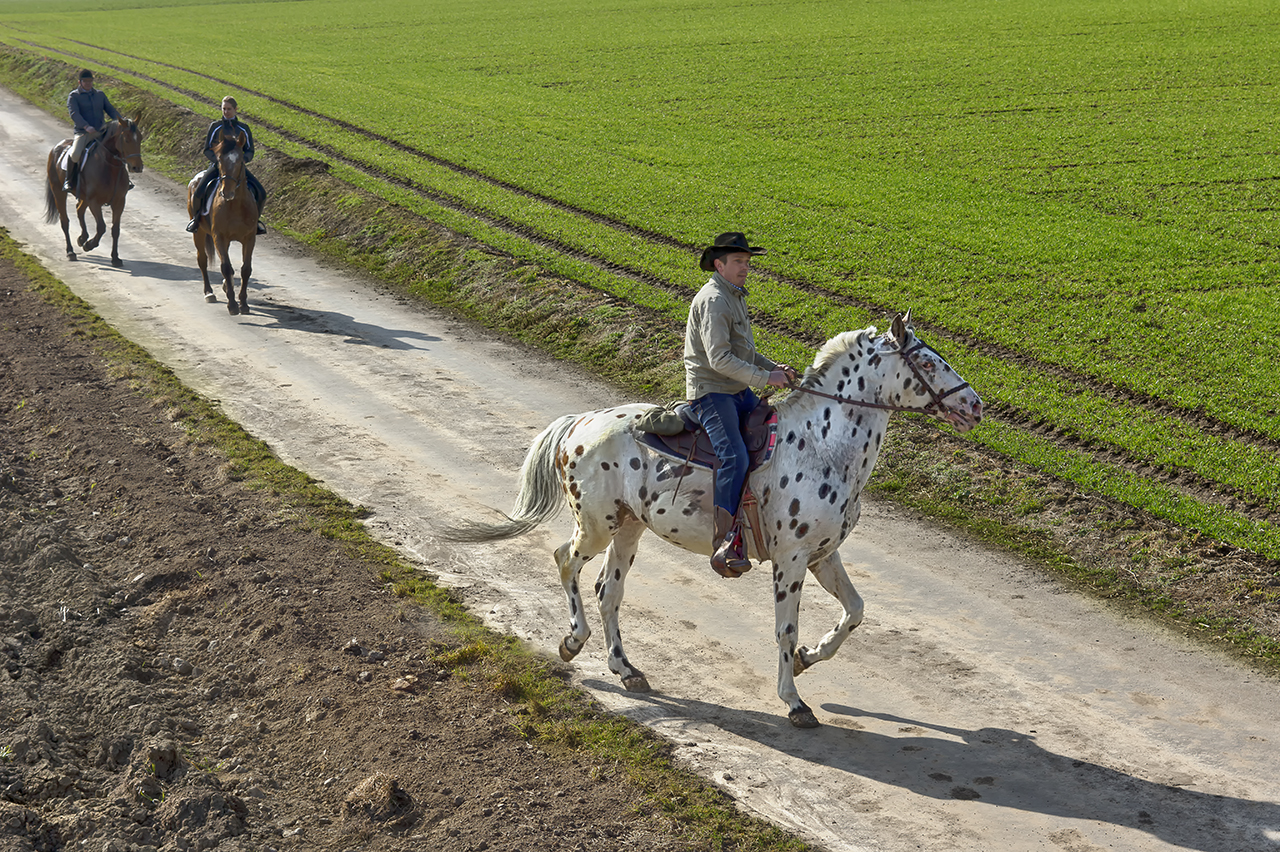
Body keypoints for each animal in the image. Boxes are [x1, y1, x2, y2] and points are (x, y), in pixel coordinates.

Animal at [44, 117, 144, 267]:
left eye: (141, 138)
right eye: (126, 140)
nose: (137, 167)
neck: (109, 166)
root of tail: (57, 146)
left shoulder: (119, 202)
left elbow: (115, 229)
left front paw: (115, 258)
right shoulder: (94, 202)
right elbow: (102, 227)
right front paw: (89, 245)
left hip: (84, 197)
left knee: (79, 210)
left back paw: (82, 238)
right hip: (58, 192)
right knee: (65, 221)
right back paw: (71, 252)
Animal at [186, 124, 259, 313]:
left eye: (240, 161)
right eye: (219, 160)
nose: (227, 192)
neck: (235, 205)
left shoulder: (249, 238)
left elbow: (245, 269)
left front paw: (243, 303)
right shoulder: (219, 236)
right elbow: (225, 267)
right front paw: (232, 305)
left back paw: (227, 286)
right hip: (199, 233)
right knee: (203, 260)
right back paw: (209, 293)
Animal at [445, 312, 983, 721]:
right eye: (927, 361)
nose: (975, 406)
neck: (824, 445)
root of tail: (580, 423)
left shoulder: (822, 555)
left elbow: (855, 611)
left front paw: (808, 659)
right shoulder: (791, 560)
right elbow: (785, 628)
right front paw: (794, 701)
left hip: (630, 529)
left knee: (608, 593)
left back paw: (627, 669)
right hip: (598, 525)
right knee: (565, 561)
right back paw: (573, 642)